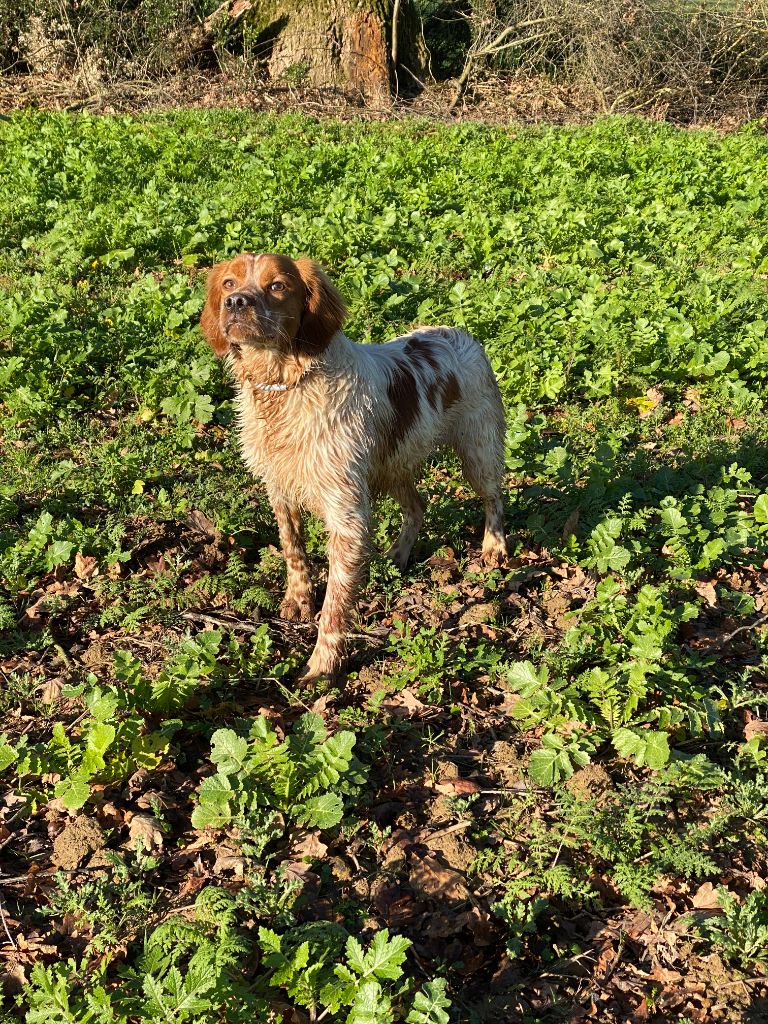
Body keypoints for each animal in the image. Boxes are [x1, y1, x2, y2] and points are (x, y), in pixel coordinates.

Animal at [200, 252, 508, 681]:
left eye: (277, 285)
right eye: (229, 283)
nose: (235, 303)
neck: (286, 385)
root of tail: (460, 334)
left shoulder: (346, 513)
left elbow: (335, 603)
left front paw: (323, 664)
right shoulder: (280, 488)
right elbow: (292, 549)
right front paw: (298, 600)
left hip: (478, 449)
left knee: (494, 498)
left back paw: (494, 548)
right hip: (393, 463)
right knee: (418, 506)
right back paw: (397, 555)